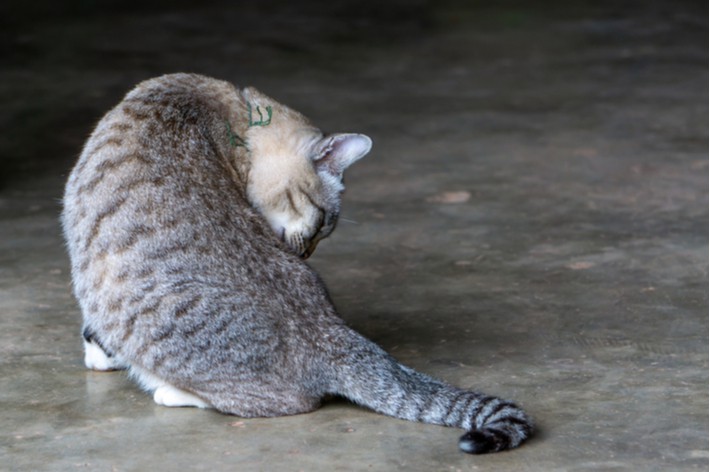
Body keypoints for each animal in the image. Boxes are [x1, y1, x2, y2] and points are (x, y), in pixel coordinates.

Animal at [62, 73, 536, 454]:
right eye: (323, 223)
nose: (305, 255)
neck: (227, 106)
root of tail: (332, 335)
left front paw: (98, 353)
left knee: (288, 402)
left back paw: (171, 391)